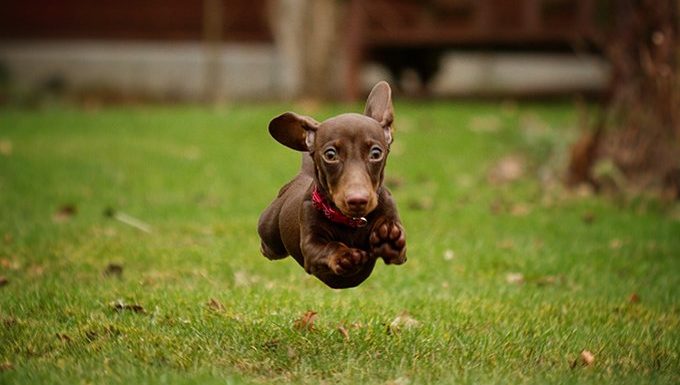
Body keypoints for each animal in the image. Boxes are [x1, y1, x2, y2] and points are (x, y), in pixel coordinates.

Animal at [255, 82, 404, 288]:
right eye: (330, 155)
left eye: (376, 153)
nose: (358, 200)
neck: (351, 221)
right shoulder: (311, 247)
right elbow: (326, 248)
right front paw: (344, 255)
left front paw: (388, 239)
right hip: (270, 233)